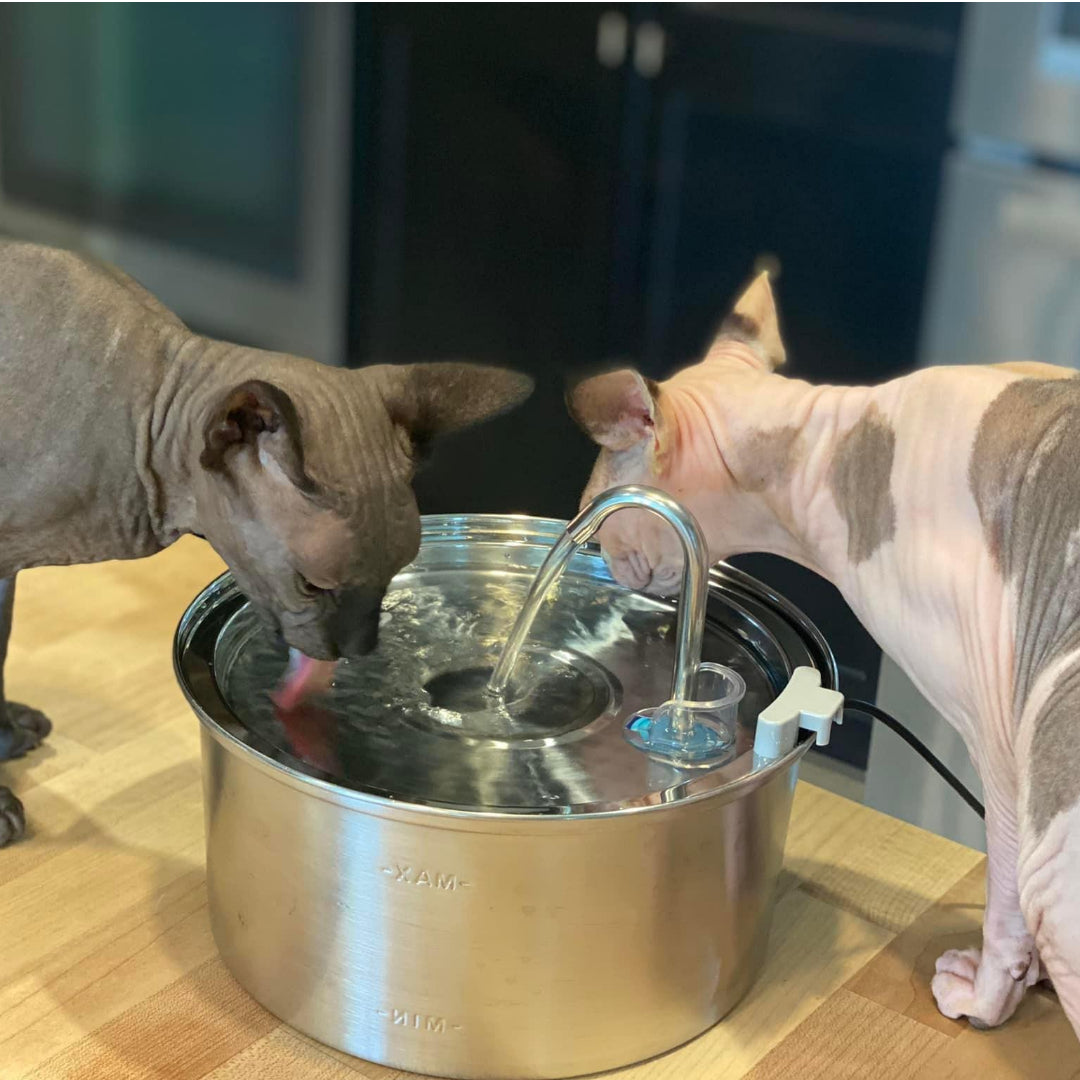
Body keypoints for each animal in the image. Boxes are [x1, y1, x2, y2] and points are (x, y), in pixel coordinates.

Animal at [570, 274, 1080, 1041]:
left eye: (598, 527)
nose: (595, 557)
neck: (824, 443)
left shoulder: (998, 730)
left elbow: (1005, 886)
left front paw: (991, 995)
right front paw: (1029, 981)